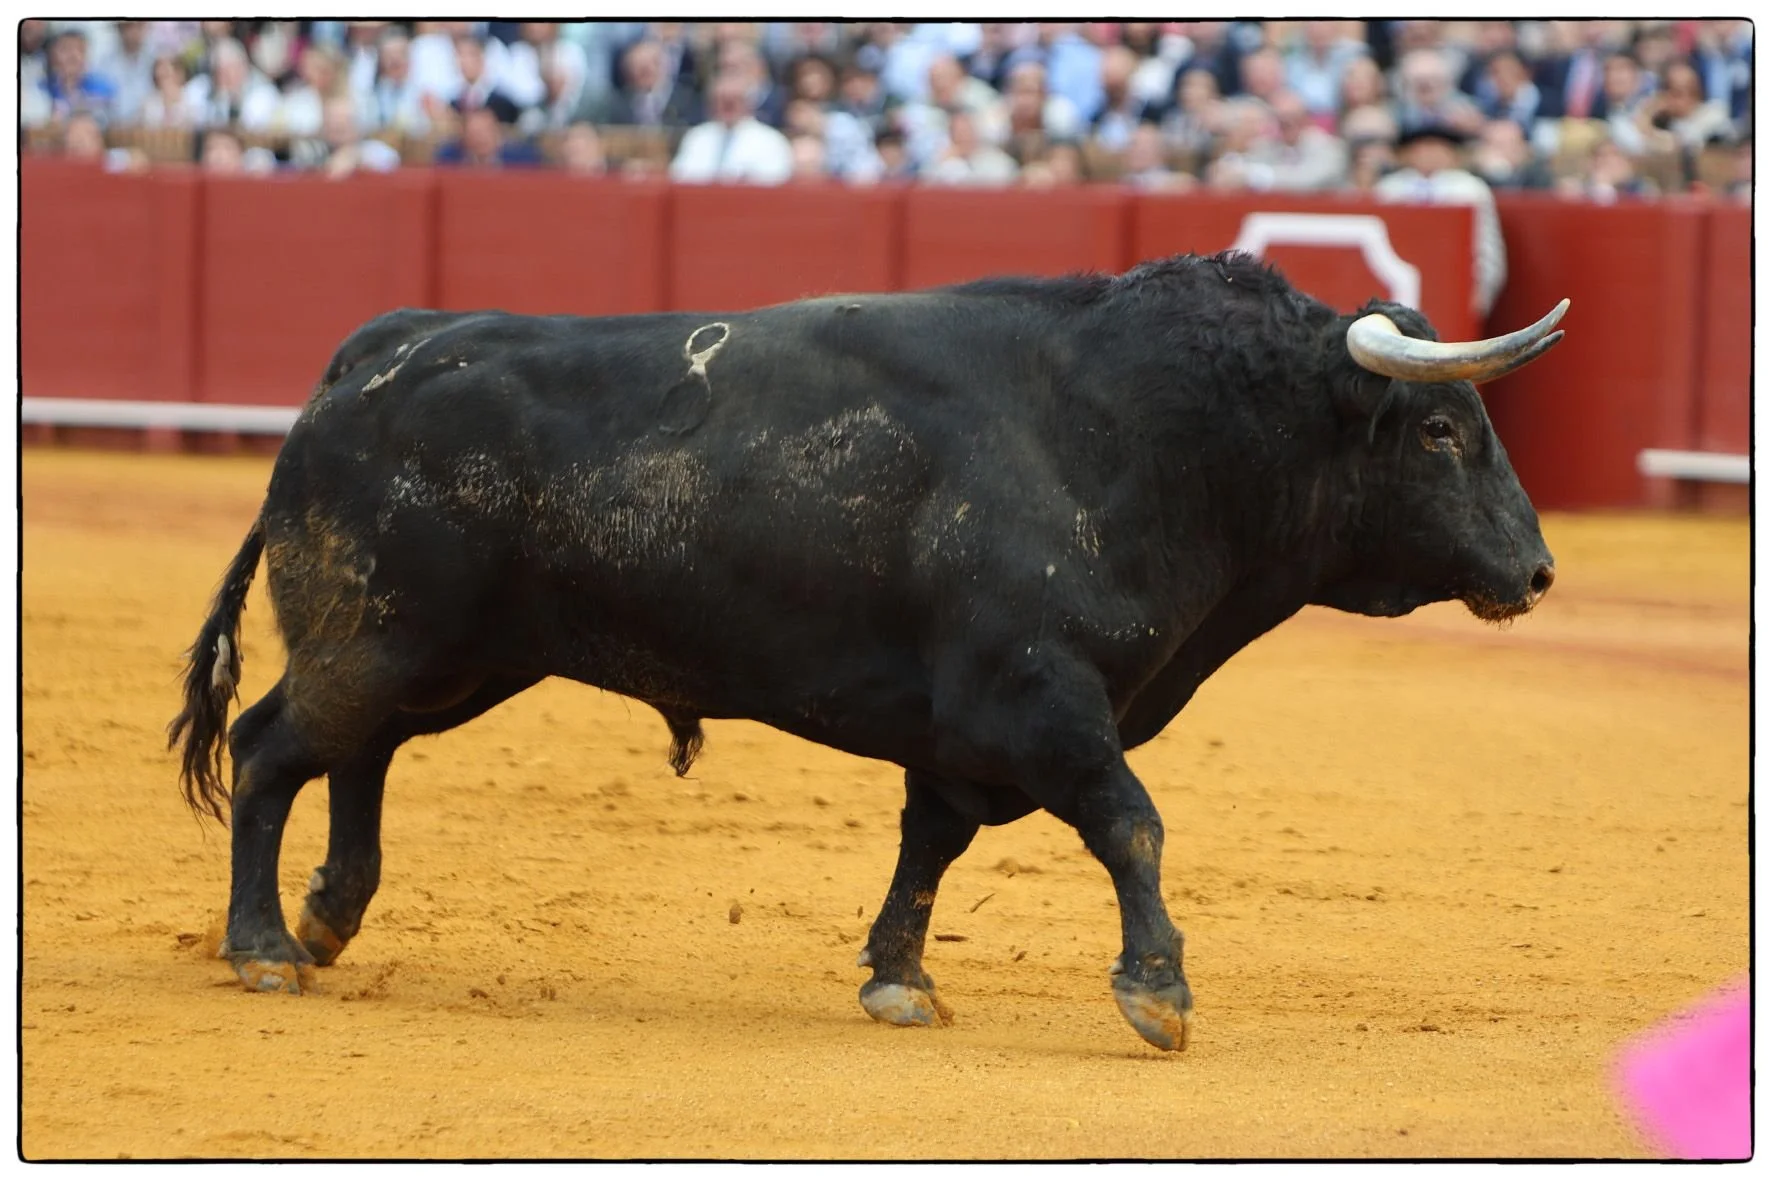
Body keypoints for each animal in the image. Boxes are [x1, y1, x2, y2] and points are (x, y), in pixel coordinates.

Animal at [170, 251, 1565, 1052]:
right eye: (1440, 429)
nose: (1537, 570)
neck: (1133, 429)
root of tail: (375, 350)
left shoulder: (966, 734)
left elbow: (929, 845)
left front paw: (898, 981)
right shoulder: (1039, 701)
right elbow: (1129, 821)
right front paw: (1156, 991)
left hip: (447, 654)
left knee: (354, 753)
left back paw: (326, 918)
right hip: (386, 632)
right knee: (273, 747)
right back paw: (264, 949)